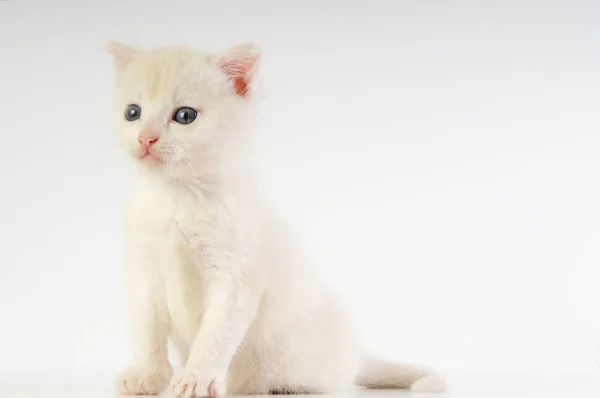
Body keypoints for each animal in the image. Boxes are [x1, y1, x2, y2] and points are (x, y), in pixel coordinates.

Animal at [106, 42, 446, 396]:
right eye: (133, 112)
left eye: (185, 116)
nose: (146, 138)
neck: (178, 196)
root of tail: (355, 358)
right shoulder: (145, 270)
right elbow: (148, 329)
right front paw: (147, 375)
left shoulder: (237, 277)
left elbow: (215, 335)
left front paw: (197, 379)